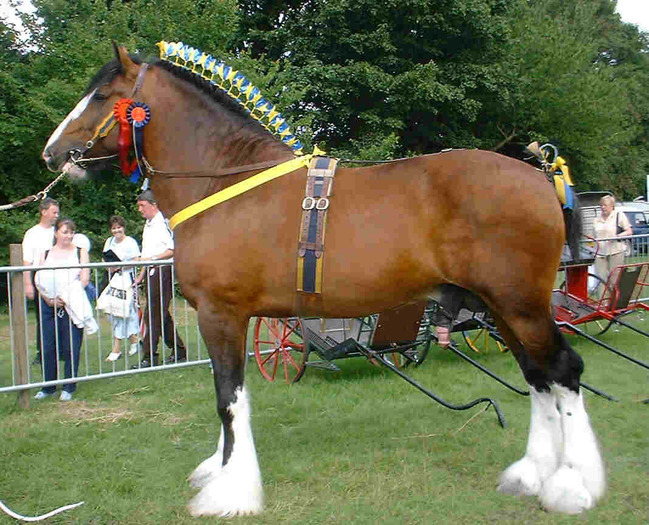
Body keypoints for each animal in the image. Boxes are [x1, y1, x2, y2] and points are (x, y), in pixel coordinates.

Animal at [41, 46, 604, 516]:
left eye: (102, 96)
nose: (52, 152)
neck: (226, 181)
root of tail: (539, 176)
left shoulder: (221, 314)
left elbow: (228, 399)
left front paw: (230, 492)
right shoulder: (229, 318)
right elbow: (228, 396)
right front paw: (220, 471)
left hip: (521, 305)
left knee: (563, 371)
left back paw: (574, 486)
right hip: (500, 307)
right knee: (538, 378)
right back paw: (531, 475)